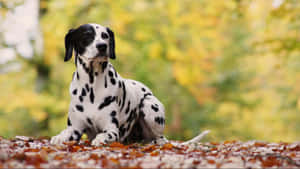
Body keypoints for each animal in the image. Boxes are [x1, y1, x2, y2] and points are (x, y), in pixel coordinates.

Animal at [50, 23, 209, 146]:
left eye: (105, 36)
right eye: (87, 35)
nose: (102, 46)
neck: (91, 87)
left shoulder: (112, 130)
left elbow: (103, 135)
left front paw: (100, 139)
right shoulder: (75, 128)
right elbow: (64, 134)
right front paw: (58, 137)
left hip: (148, 104)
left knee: (160, 138)